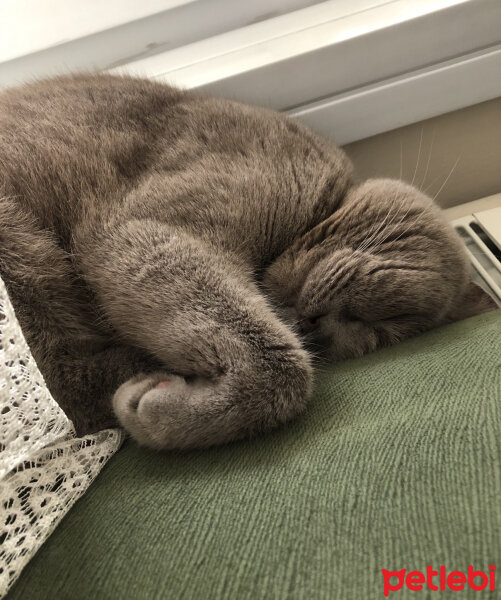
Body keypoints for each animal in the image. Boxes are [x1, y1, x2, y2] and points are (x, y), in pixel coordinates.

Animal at [0, 75, 492, 448]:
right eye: (380, 316)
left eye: (374, 336)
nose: (318, 324)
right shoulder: (146, 228)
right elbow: (283, 368)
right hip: (25, 248)